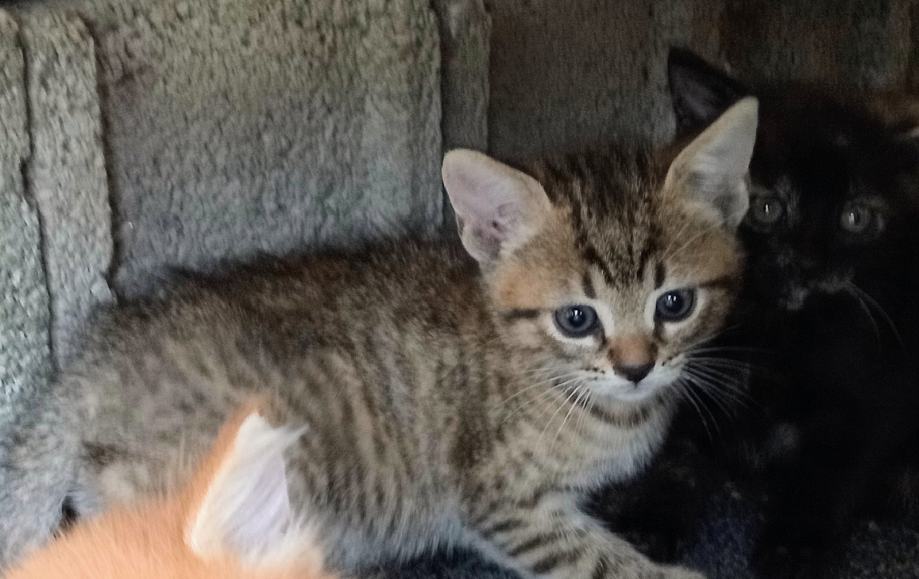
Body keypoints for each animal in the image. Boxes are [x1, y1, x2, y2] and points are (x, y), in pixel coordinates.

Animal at [0, 97, 759, 579]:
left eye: (675, 303)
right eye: (577, 318)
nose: (636, 367)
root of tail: (89, 364)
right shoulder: (497, 499)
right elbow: (592, 558)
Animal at [604, 48, 919, 579]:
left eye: (855, 217)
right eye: (767, 207)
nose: (809, 264)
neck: (770, 326)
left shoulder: (873, 389)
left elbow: (828, 472)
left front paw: (795, 546)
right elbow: (673, 456)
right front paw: (648, 519)